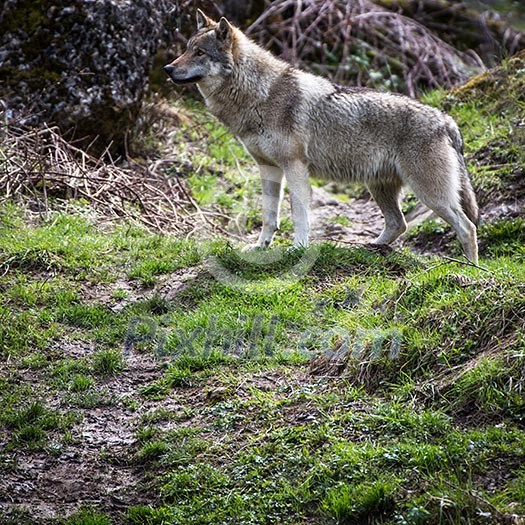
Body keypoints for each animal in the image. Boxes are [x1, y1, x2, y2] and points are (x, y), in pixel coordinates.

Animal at [164, 8, 478, 262]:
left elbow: (299, 215)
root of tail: (447, 121)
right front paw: (261, 247)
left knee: (468, 227)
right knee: (398, 223)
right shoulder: (268, 168)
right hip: (379, 186)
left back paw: (472, 271)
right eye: (186, 49)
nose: (167, 68)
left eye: (200, 53)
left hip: (429, 195)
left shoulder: (295, 167)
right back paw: (370, 248)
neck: (258, 95)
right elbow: (269, 216)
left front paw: (298, 249)